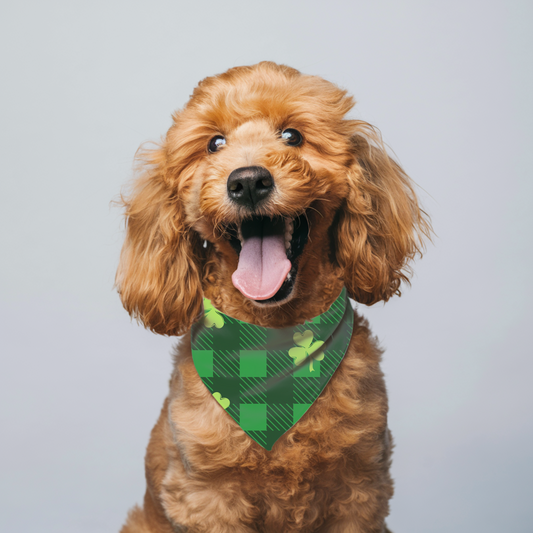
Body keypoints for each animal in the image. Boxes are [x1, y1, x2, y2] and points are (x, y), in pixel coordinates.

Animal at [115, 62, 428, 532]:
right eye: (215, 143)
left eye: (292, 135)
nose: (247, 181)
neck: (272, 341)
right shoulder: (208, 496)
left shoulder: (360, 490)